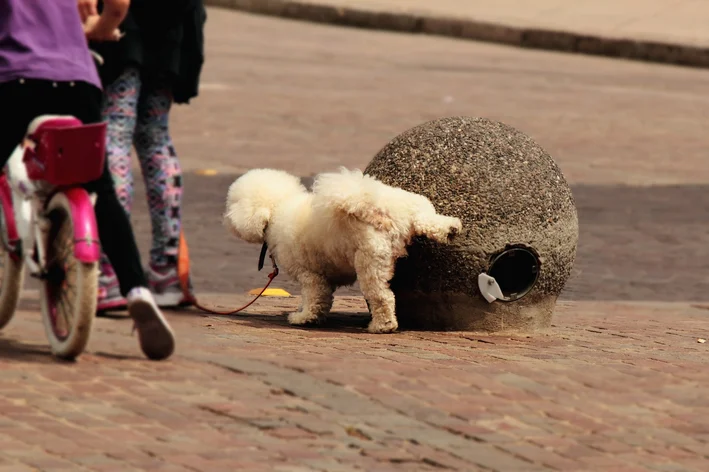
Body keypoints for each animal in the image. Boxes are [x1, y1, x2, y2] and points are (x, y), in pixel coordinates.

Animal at [224, 168, 462, 334]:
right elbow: (321, 300)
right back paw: (451, 229)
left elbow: (313, 298)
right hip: (415, 209)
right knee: (429, 221)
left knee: (382, 297)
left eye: (232, 202)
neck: (279, 208)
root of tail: (376, 207)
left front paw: (304, 318)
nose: (225, 220)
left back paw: (382, 326)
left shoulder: (310, 275)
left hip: (370, 262)